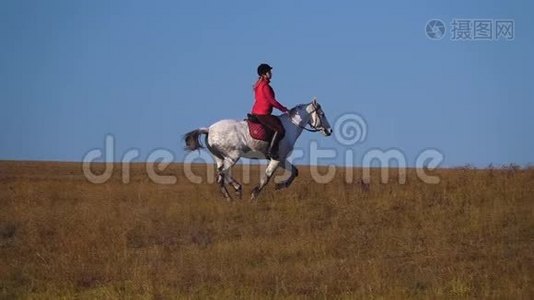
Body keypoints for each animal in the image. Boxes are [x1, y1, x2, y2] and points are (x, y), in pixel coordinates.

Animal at [186, 98, 332, 200]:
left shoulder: (281, 159)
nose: (329, 131)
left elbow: (295, 171)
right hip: (232, 156)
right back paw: (237, 189)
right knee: (222, 173)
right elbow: (266, 177)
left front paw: (280, 186)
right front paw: (254, 195)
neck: (290, 126)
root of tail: (209, 129)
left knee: (221, 176)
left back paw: (230, 197)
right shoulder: (276, 159)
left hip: (220, 158)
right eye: (322, 114)